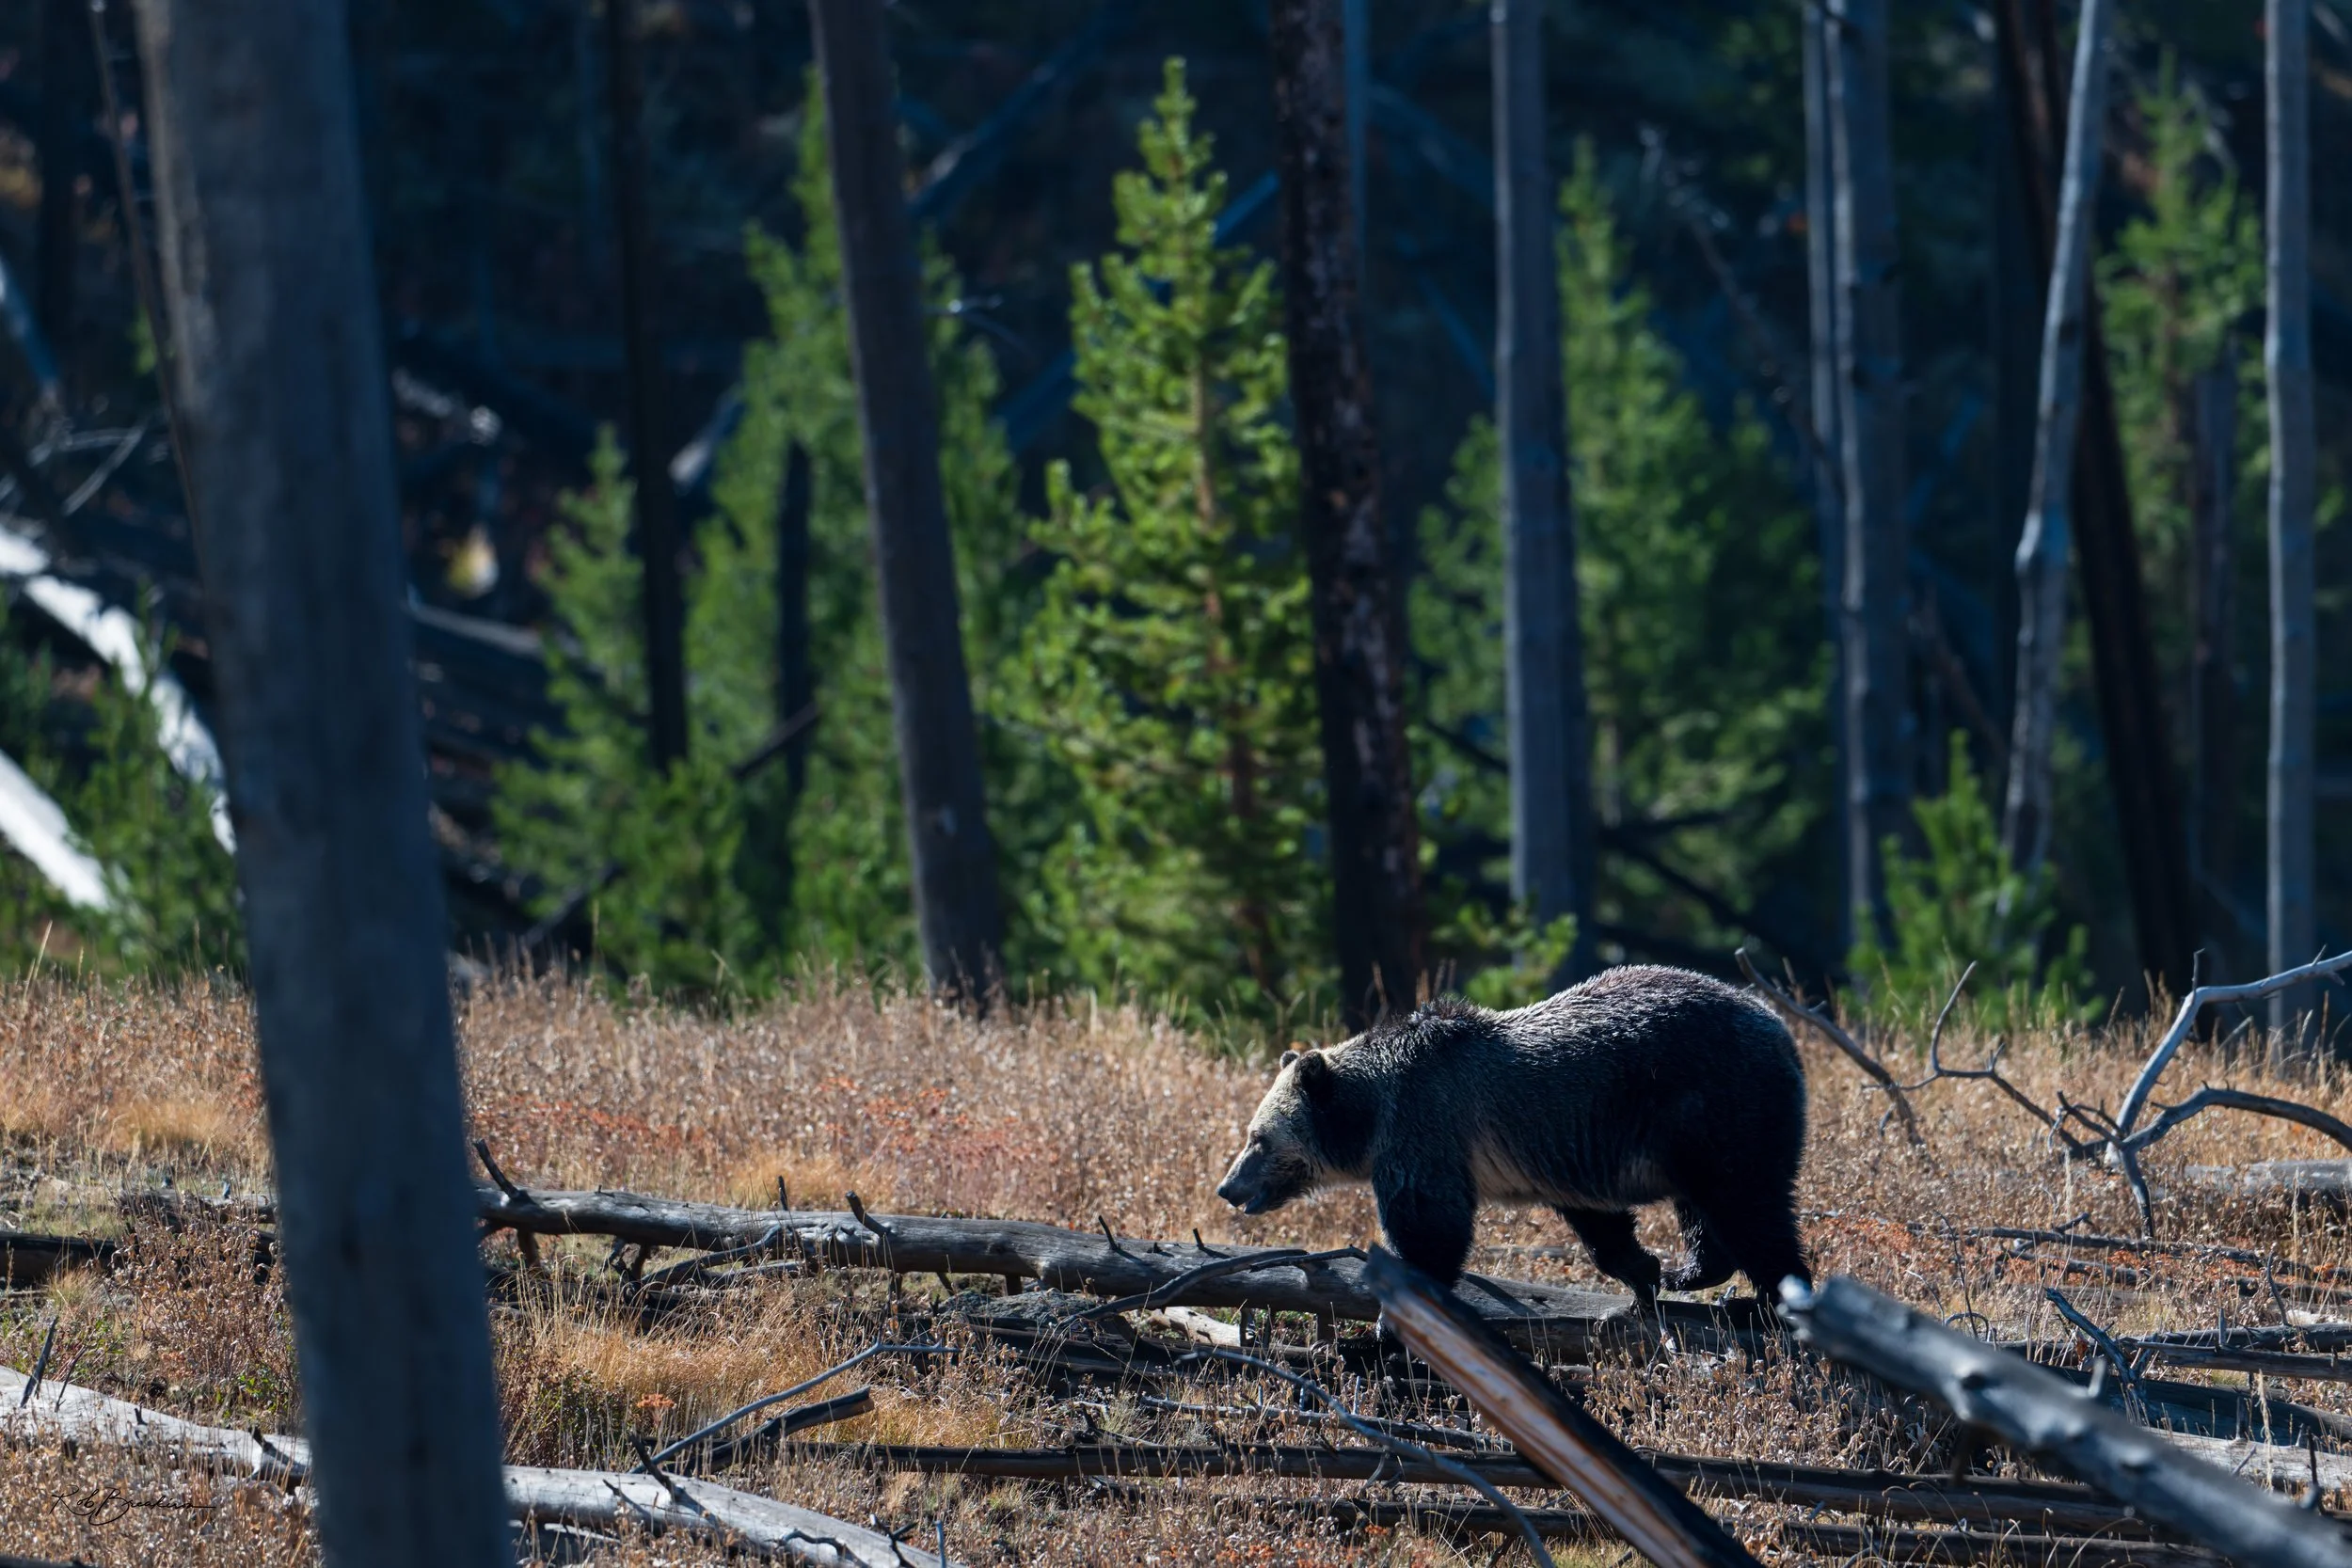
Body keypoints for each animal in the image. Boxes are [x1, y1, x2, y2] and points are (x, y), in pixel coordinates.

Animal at [1214, 964, 1810, 1308]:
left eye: (1258, 1138)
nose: (1228, 1187)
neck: (1369, 1109)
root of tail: (1780, 1027)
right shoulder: (1566, 1150)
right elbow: (1599, 1220)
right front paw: (1642, 1269)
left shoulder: (1425, 1123)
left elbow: (1430, 1219)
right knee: (1705, 1206)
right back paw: (1693, 1271)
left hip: (1716, 1103)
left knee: (1750, 1204)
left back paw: (1776, 1294)